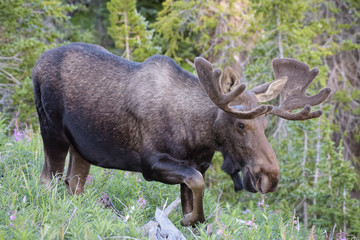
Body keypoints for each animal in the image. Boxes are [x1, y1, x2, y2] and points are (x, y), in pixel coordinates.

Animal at [32, 42, 330, 226]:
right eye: (241, 124)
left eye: (266, 123)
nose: (270, 177)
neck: (198, 137)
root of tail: (36, 65)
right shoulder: (151, 163)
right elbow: (197, 184)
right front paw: (189, 219)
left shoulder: (196, 164)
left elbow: (194, 195)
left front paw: (189, 219)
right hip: (52, 131)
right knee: (47, 179)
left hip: (81, 147)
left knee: (74, 185)